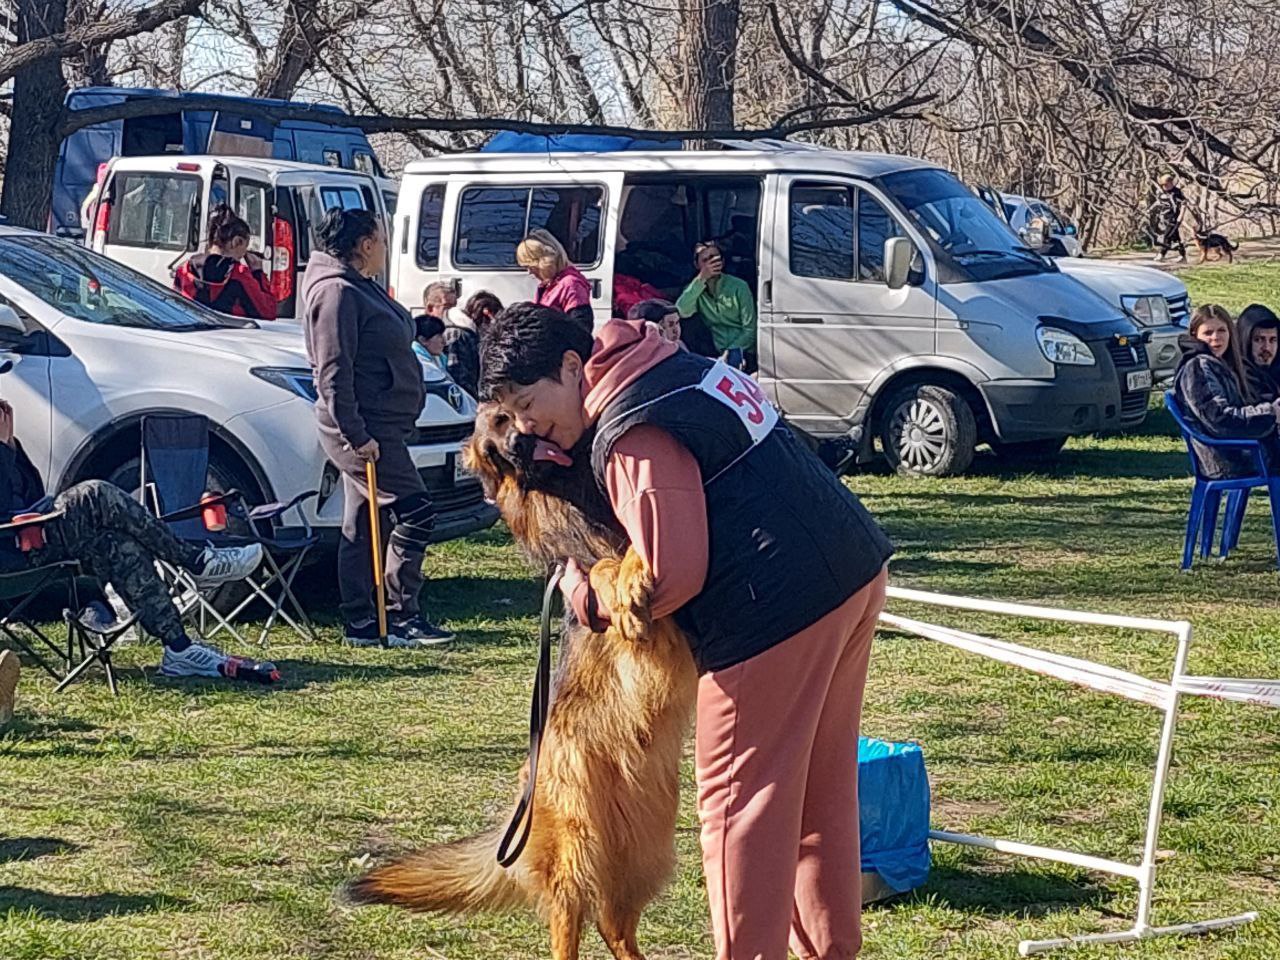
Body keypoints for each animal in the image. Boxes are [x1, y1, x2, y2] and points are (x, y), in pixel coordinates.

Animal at [348, 404, 701, 960]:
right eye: (493, 449)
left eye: (504, 417)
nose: (515, 446)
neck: (569, 491)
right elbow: (604, 566)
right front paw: (624, 581)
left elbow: (634, 542)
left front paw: (633, 570)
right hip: (577, 848)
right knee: (572, 919)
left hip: (643, 855)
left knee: (614, 925)